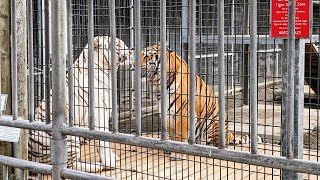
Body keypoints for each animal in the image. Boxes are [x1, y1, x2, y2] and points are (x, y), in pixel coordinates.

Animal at [28, 35, 132, 172]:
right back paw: (97, 166)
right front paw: (109, 162)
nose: (131, 51)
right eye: (118, 44)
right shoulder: (98, 112)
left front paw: (112, 157)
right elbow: (103, 138)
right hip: (70, 138)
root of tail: (30, 156)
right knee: (69, 165)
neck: (107, 72)